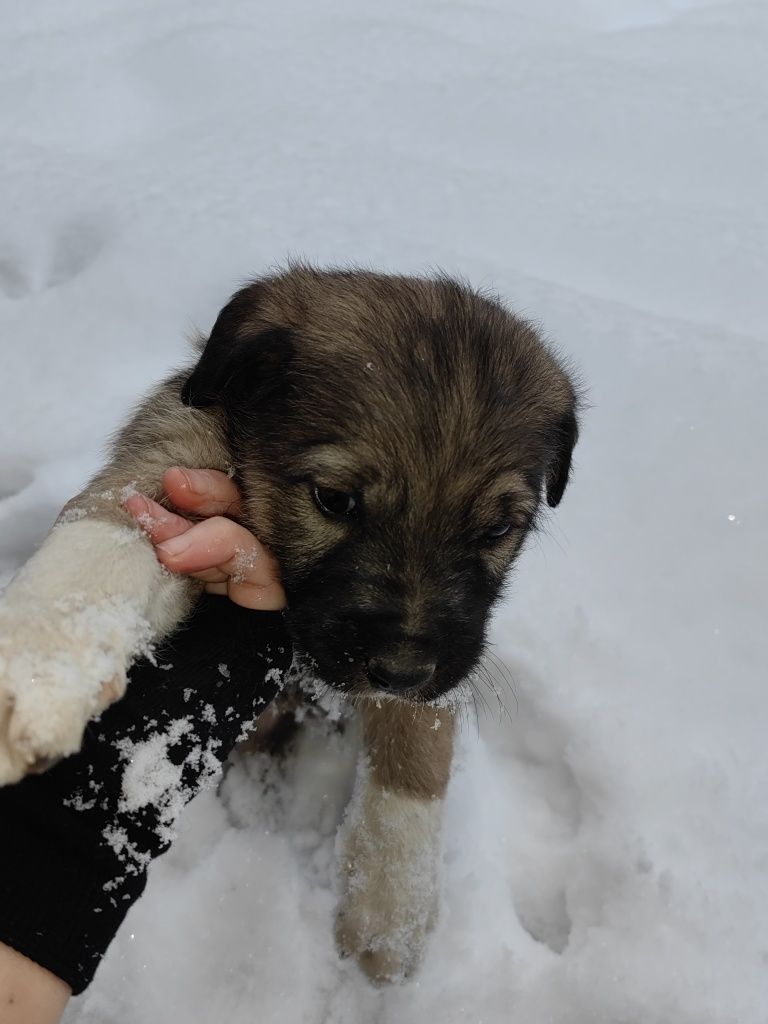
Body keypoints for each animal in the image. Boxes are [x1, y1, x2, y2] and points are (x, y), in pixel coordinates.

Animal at [0, 266, 577, 983]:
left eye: (497, 531)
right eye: (334, 500)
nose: (399, 671)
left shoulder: (446, 654)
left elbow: (417, 743)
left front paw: (391, 903)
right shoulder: (174, 462)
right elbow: (100, 545)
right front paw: (35, 671)